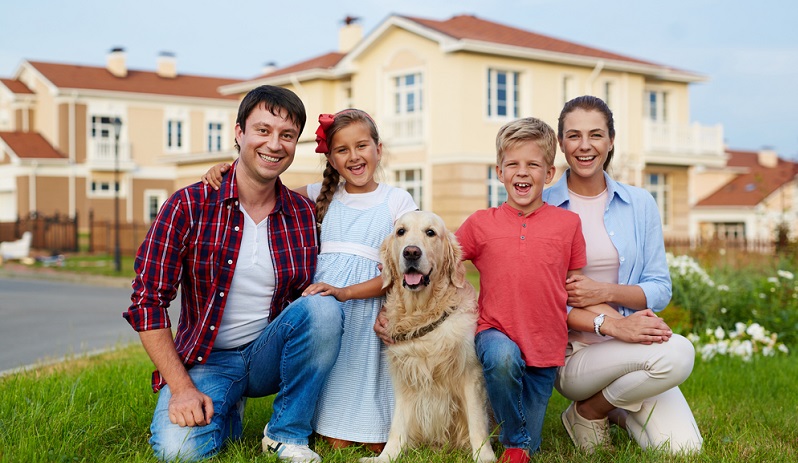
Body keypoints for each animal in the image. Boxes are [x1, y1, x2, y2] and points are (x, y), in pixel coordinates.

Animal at [360, 213, 496, 463]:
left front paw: (484, 456)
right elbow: (397, 424)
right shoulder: (403, 376)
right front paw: (387, 456)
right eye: (401, 232)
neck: (421, 312)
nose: (411, 252)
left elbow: (477, 423)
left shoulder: (471, 373)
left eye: (430, 233)